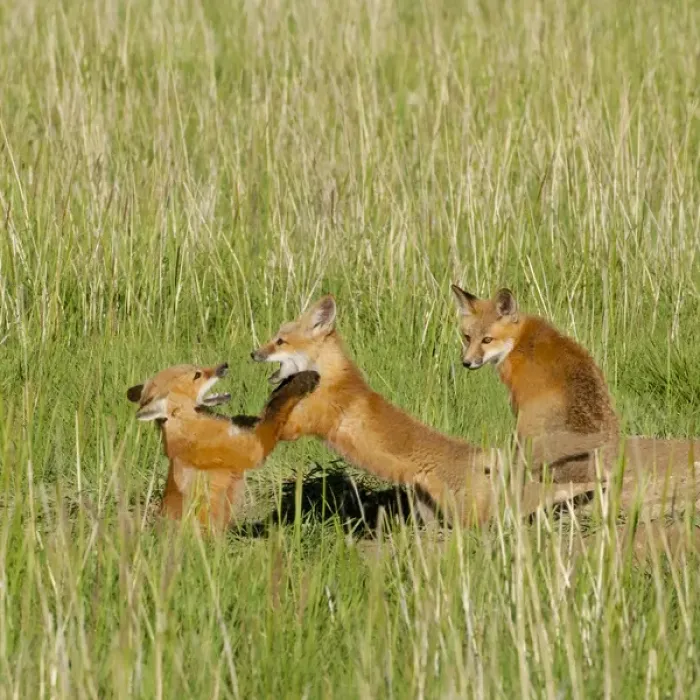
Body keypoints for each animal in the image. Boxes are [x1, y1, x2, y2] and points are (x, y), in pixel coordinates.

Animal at [127, 362, 319, 532]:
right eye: (197, 375)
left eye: (197, 367)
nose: (224, 365)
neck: (194, 426)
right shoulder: (254, 449)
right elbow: (276, 405)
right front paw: (302, 380)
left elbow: (261, 410)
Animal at [250, 295, 598, 526]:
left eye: (279, 342)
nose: (253, 353)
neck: (331, 376)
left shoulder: (302, 423)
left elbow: (268, 419)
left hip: (470, 514)